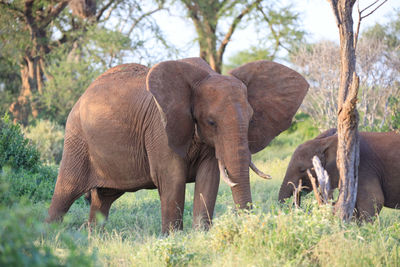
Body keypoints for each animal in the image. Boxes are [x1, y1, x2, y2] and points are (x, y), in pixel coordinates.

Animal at [47, 57, 310, 233]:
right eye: (211, 122)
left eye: (251, 119)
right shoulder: (160, 128)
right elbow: (172, 179)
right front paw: (172, 237)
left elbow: (209, 178)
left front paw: (201, 235)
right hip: (76, 139)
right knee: (65, 192)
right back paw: (50, 236)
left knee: (103, 199)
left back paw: (95, 237)